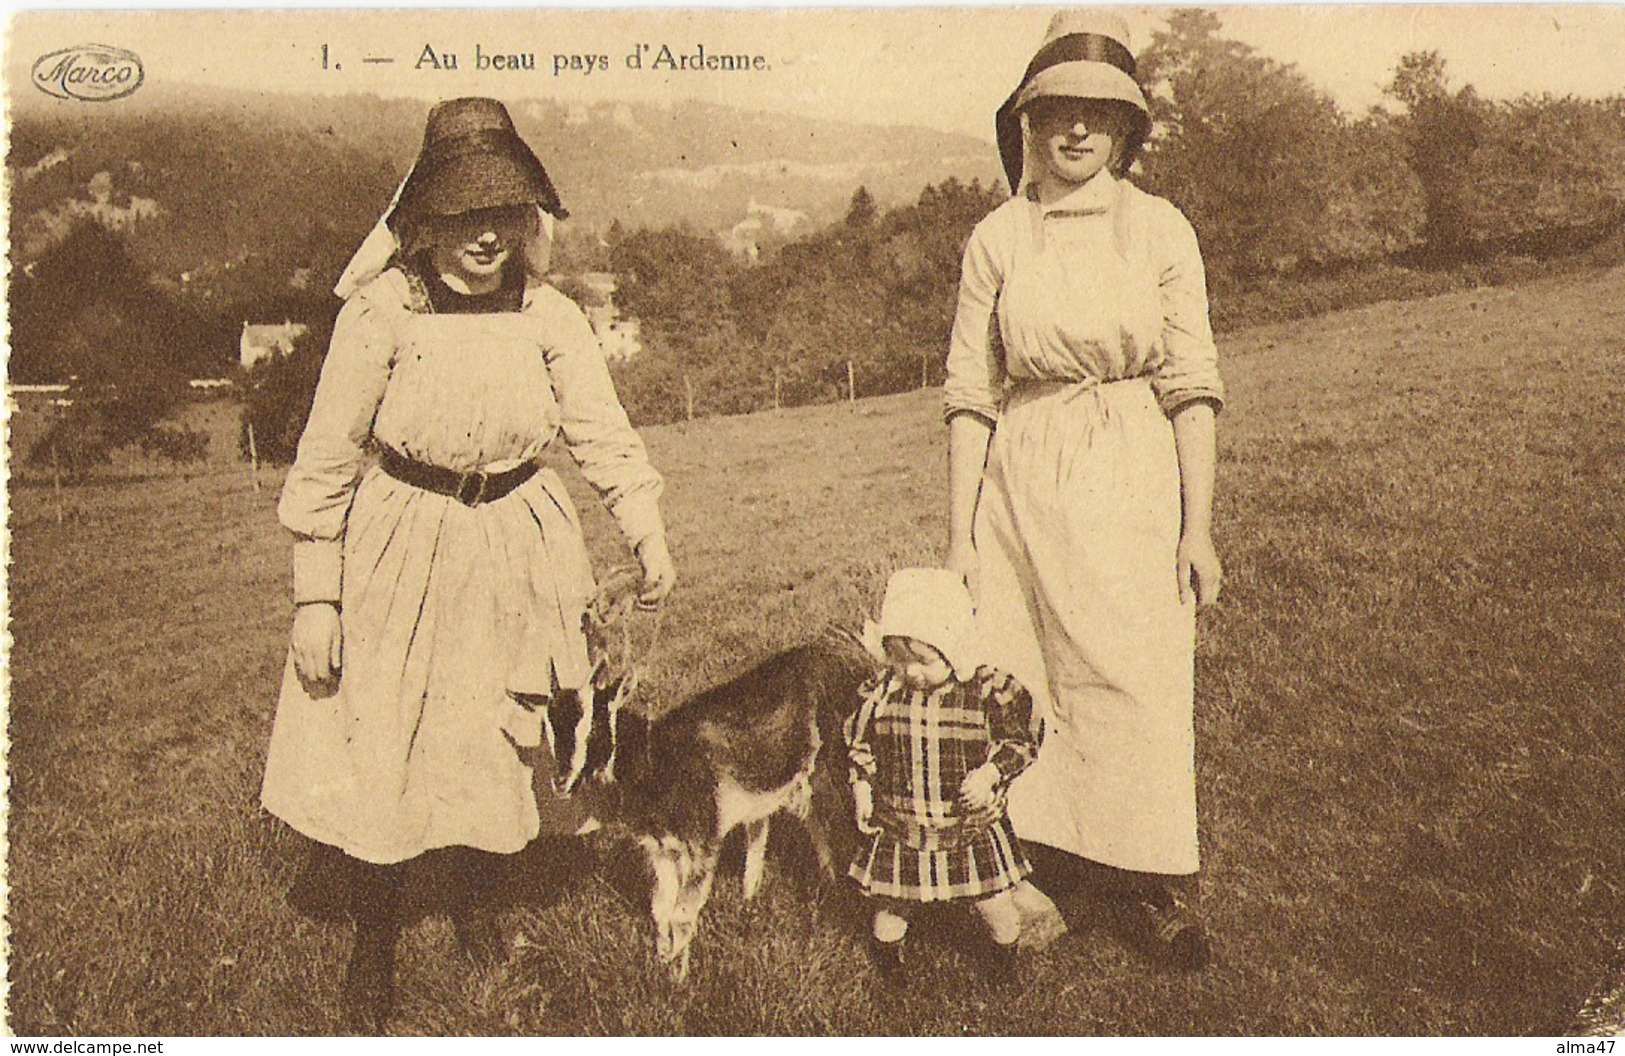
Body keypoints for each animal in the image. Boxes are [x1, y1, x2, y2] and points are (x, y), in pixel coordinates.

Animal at [533, 575, 871, 981]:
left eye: (595, 726)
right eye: (548, 730)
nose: (561, 781)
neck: (658, 760)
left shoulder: (703, 842)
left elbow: (681, 914)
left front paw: (679, 980)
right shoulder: (659, 848)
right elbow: (660, 909)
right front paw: (663, 963)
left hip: (839, 762)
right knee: (802, 823)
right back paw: (769, 894)